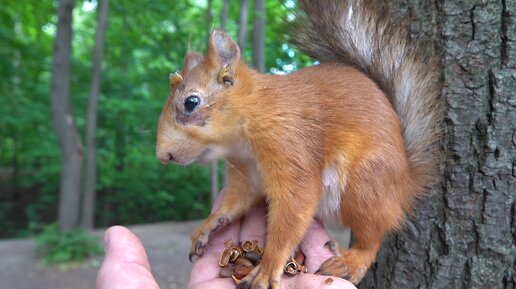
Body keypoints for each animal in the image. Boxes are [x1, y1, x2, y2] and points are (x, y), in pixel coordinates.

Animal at [155, 0, 442, 286]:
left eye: (191, 102)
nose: (162, 156)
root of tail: (404, 184)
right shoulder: (245, 172)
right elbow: (236, 201)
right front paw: (210, 224)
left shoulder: (290, 146)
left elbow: (295, 206)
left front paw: (267, 267)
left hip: (366, 185)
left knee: (372, 237)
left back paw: (350, 261)